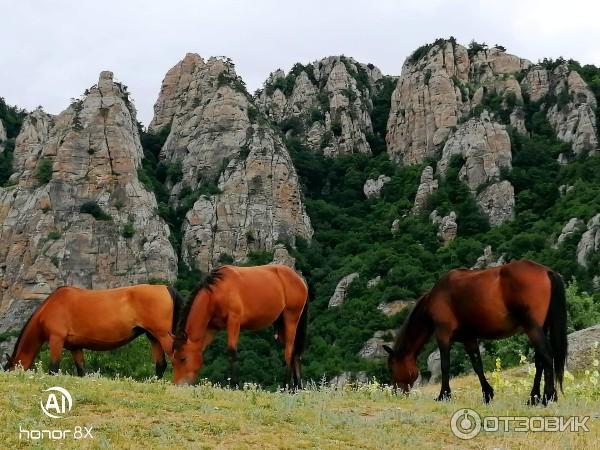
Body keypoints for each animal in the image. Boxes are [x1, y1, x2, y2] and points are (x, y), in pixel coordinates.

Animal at [3, 284, 184, 376]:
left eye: (9, 370)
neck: (51, 306)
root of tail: (165, 287)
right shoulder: (75, 347)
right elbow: (82, 370)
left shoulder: (56, 339)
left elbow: (53, 368)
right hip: (153, 337)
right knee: (161, 364)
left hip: (164, 336)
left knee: (177, 359)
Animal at [170, 264, 308, 386]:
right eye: (173, 360)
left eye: (183, 358)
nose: (178, 385)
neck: (216, 293)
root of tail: (300, 279)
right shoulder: (212, 328)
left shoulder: (234, 321)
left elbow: (232, 352)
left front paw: (234, 385)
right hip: (281, 325)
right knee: (295, 353)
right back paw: (297, 387)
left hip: (291, 318)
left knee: (289, 351)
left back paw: (286, 386)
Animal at [384, 258, 568, 406]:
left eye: (391, 369)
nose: (396, 392)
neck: (437, 296)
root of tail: (546, 271)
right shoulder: (469, 338)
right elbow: (477, 365)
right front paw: (487, 394)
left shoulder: (443, 334)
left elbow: (445, 365)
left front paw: (444, 395)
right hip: (541, 327)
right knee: (540, 361)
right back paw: (533, 398)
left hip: (532, 327)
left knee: (546, 355)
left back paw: (548, 397)